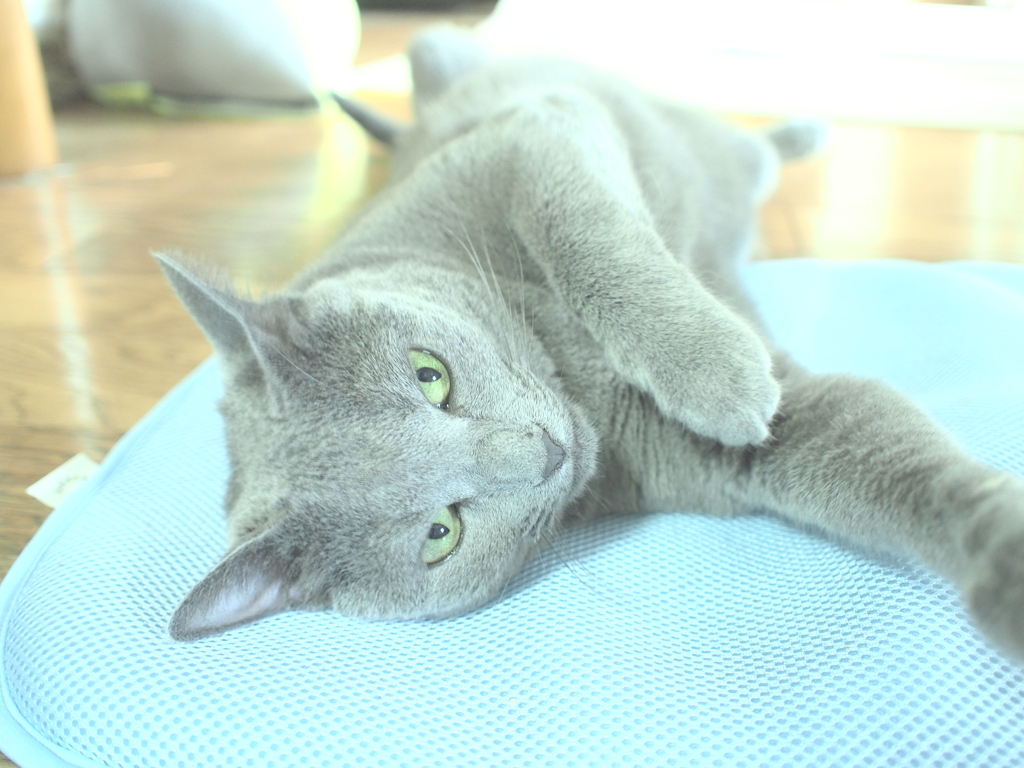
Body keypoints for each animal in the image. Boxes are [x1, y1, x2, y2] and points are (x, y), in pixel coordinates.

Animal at [159, 27, 1024, 659]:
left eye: (430, 375)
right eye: (441, 533)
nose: (544, 452)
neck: (571, 376)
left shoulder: (532, 138)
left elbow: (588, 239)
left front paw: (718, 374)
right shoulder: (740, 458)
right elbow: (880, 455)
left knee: (749, 146)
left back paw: (808, 128)